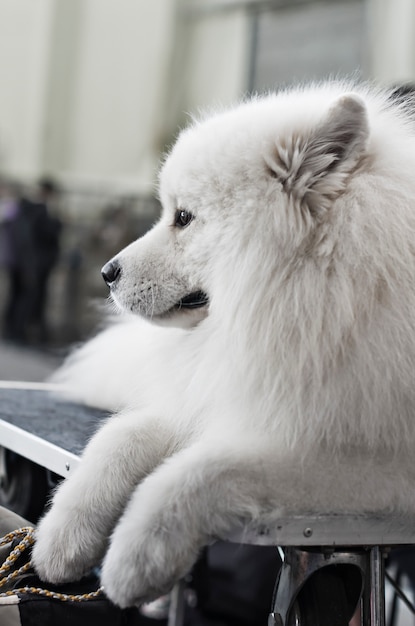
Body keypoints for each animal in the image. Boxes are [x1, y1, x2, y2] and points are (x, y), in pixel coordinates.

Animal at [34, 81, 415, 604]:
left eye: (183, 217)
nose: (106, 273)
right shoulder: (227, 394)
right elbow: (119, 437)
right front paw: (63, 537)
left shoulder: (363, 458)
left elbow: (207, 468)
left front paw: (139, 554)